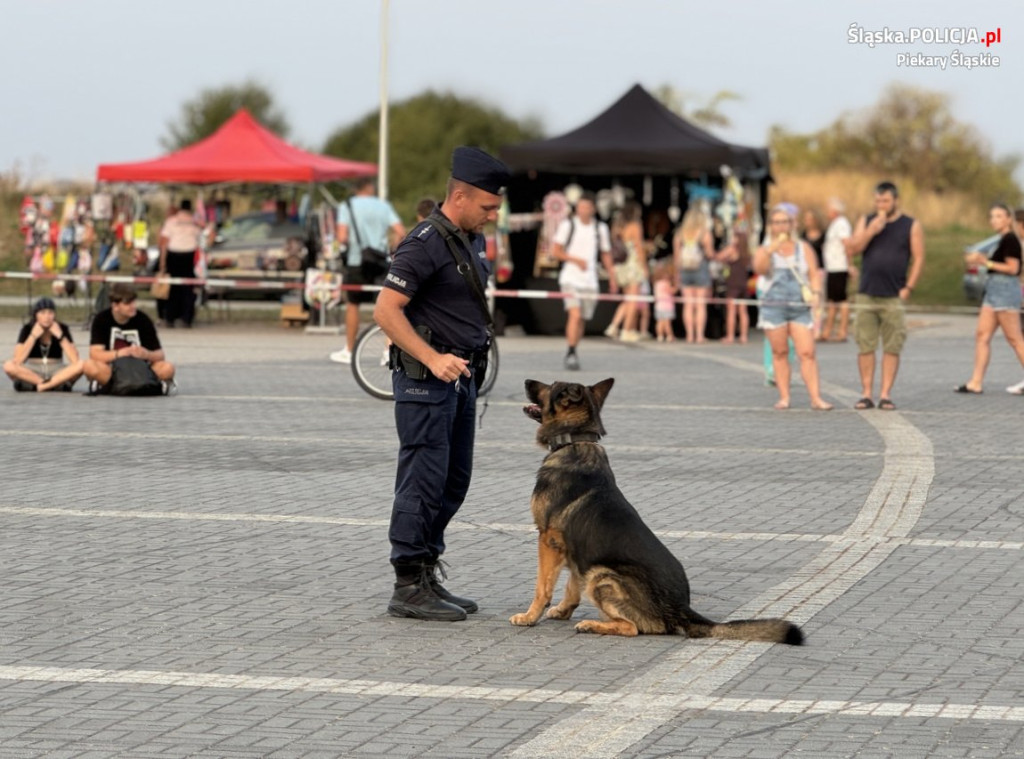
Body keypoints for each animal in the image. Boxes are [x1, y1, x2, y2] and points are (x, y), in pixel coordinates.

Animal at [507, 378, 802, 647]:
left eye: (552, 385)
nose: (526, 380)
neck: (575, 442)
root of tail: (682, 607)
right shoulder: (577, 552)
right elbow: (571, 585)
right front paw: (562, 611)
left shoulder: (548, 540)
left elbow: (543, 586)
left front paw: (530, 616)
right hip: (596, 572)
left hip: (603, 576)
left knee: (632, 628)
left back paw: (593, 624)